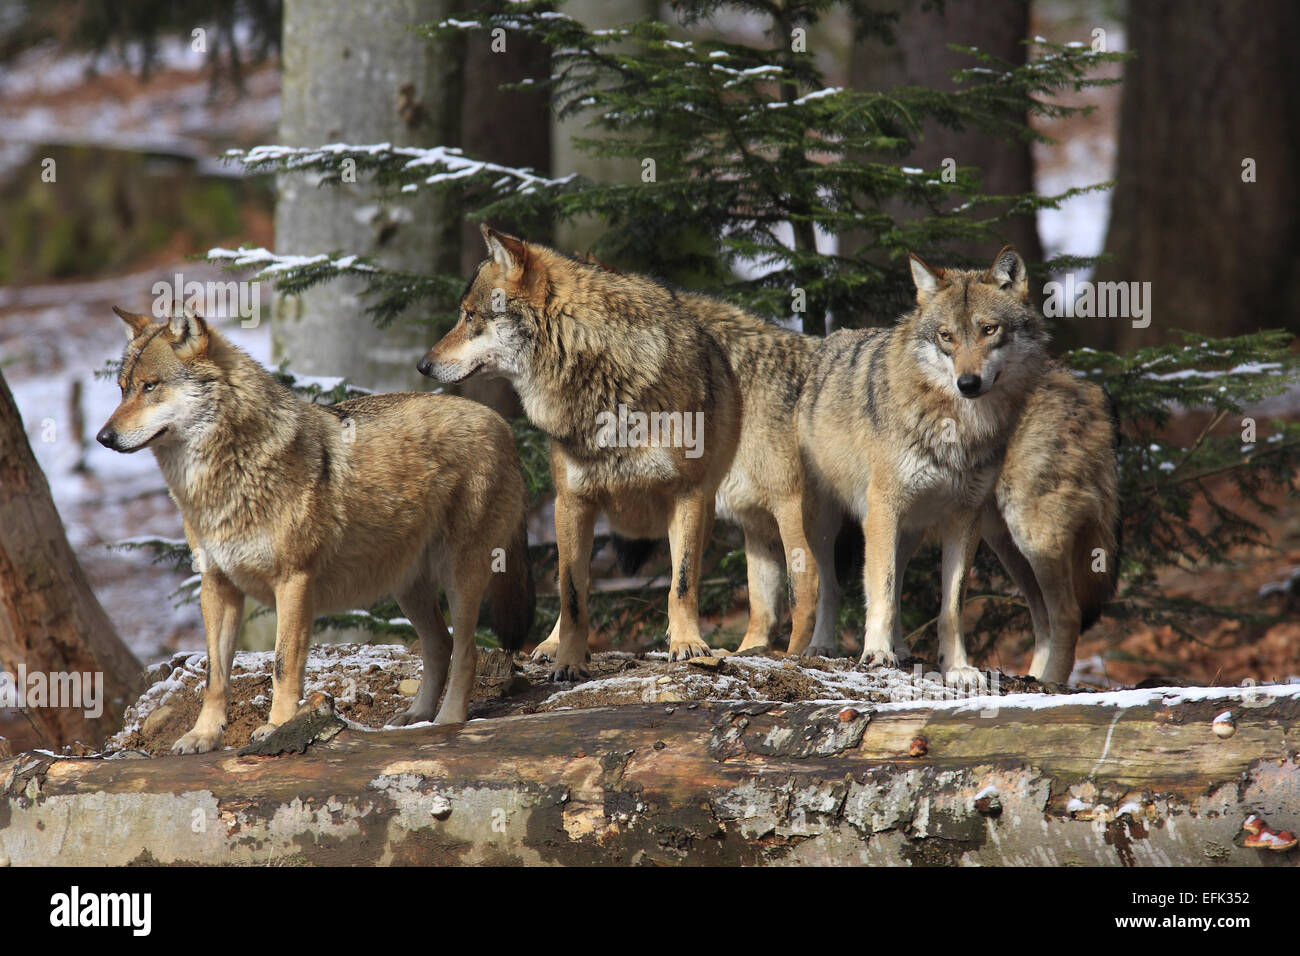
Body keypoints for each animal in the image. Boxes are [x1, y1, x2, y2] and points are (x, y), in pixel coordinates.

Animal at [98, 306, 534, 753]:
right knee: (439, 644)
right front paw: (204, 735)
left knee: (467, 650)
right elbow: (215, 676)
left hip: (461, 578)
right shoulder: (217, 584)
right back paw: (417, 717)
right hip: (406, 588)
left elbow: (282, 664)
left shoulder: (293, 582)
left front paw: (276, 727)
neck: (224, 480)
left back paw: (447, 720)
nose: (103, 437)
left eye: (151, 386)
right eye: (122, 389)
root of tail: (501, 423)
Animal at [419, 226, 743, 679]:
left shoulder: (688, 495)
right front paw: (569, 660)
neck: (603, 381)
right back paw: (551, 645)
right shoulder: (571, 500)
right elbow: (572, 593)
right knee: (573, 583)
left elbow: (681, 582)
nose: (422, 365)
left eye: (468, 316)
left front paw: (687, 643)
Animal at [797, 247, 1048, 680]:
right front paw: (875, 654)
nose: (968, 383)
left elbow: (950, 605)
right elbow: (879, 590)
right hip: (828, 524)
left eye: (989, 330)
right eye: (946, 336)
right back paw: (824, 645)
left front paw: (958, 666)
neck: (958, 427)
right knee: (831, 586)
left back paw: (902, 649)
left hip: (909, 532)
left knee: (897, 583)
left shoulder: (967, 517)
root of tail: (826, 344)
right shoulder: (884, 507)